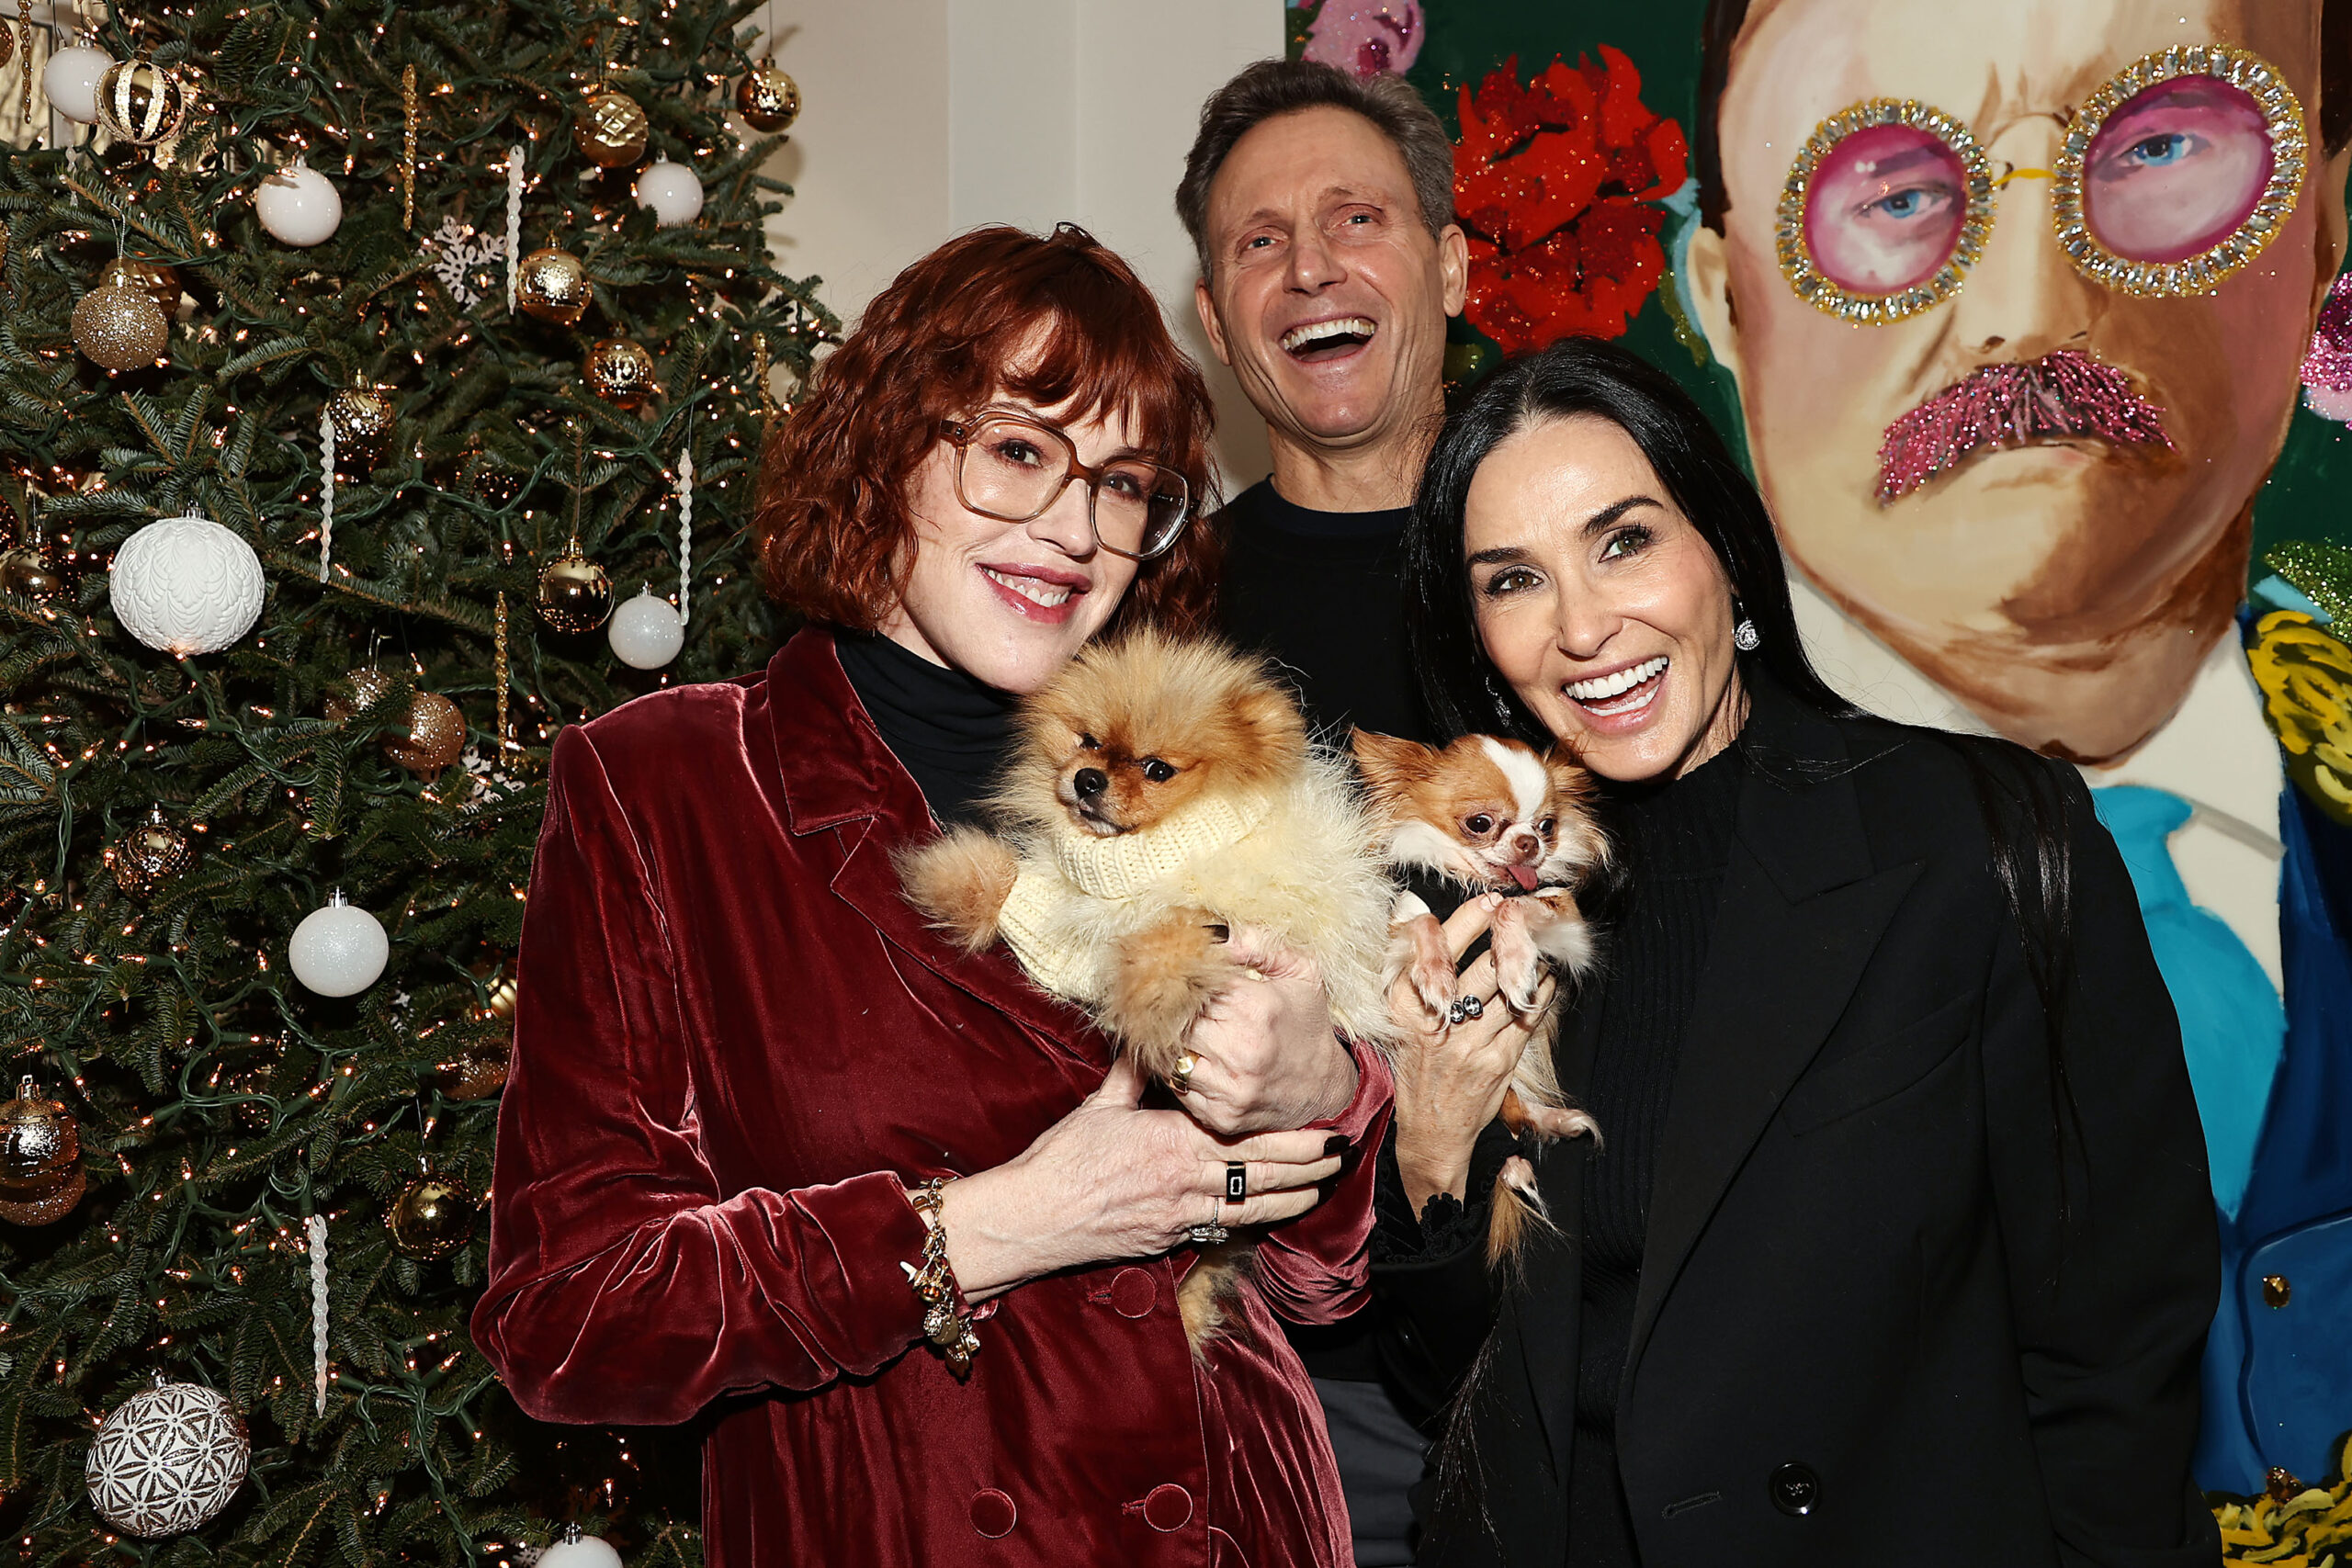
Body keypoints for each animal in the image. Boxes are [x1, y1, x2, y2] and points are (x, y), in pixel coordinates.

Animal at [888, 629, 1383, 1344]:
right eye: (1089, 741)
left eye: (1157, 770)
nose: (1088, 778)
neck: (1140, 862)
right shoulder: (1060, 924)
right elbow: (1011, 889)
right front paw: (947, 876)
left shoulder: (1223, 930)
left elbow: (1167, 941)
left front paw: (1146, 1007)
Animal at [1354, 728, 1609, 1269]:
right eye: (1480, 823)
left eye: (1548, 825)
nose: (1530, 842)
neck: (1476, 885)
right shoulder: (1395, 932)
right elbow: (1424, 922)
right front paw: (1435, 973)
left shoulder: (1567, 924)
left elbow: (1515, 908)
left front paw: (1512, 961)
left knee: (1516, 1114)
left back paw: (1551, 1123)